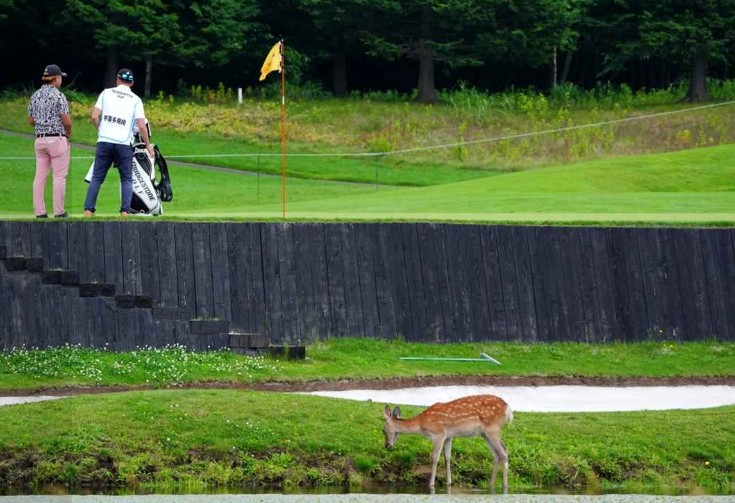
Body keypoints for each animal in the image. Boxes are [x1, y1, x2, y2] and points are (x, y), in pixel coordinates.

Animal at [382, 394, 513, 494]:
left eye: (383, 430)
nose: (387, 445)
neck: (421, 424)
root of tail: (508, 409)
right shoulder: (449, 436)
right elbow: (447, 457)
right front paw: (449, 482)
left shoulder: (439, 434)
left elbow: (435, 458)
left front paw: (431, 484)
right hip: (484, 433)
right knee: (496, 454)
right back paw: (491, 485)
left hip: (493, 429)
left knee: (504, 452)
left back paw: (505, 486)